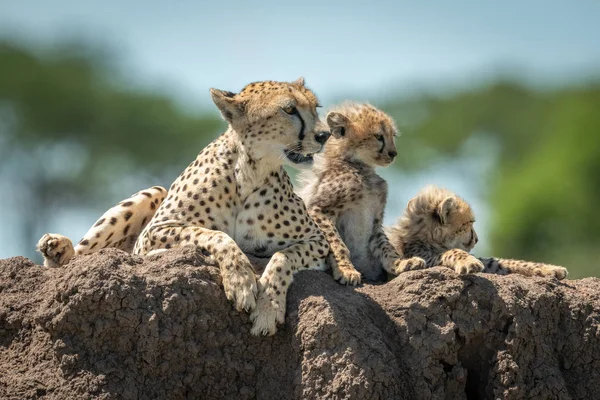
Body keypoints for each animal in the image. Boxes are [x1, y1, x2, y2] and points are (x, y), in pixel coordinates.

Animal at [37, 77, 332, 334]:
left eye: (315, 108)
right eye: (289, 109)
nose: (325, 135)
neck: (250, 171)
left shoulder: (318, 243)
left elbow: (282, 257)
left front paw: (268, 308)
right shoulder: (153, 232)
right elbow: (214, 234)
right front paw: (241, 281)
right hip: (154, 192)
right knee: (80, 256)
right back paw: (58, 248)